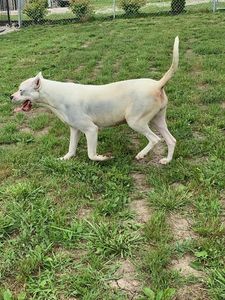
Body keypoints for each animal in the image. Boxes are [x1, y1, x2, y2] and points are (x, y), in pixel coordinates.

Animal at [11, 37, 179, 164]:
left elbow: (91, 155)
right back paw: (167, 160)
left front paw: (104, 157)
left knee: (155, 139)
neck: (56, 95)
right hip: (157, 120)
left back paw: (141, 154)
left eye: (21, 90)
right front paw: (63, 159)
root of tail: (157, 84)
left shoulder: (91, 130)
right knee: (171, 140)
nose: (10, 96)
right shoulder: (75, 129)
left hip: (135, 122)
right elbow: (71, 150)